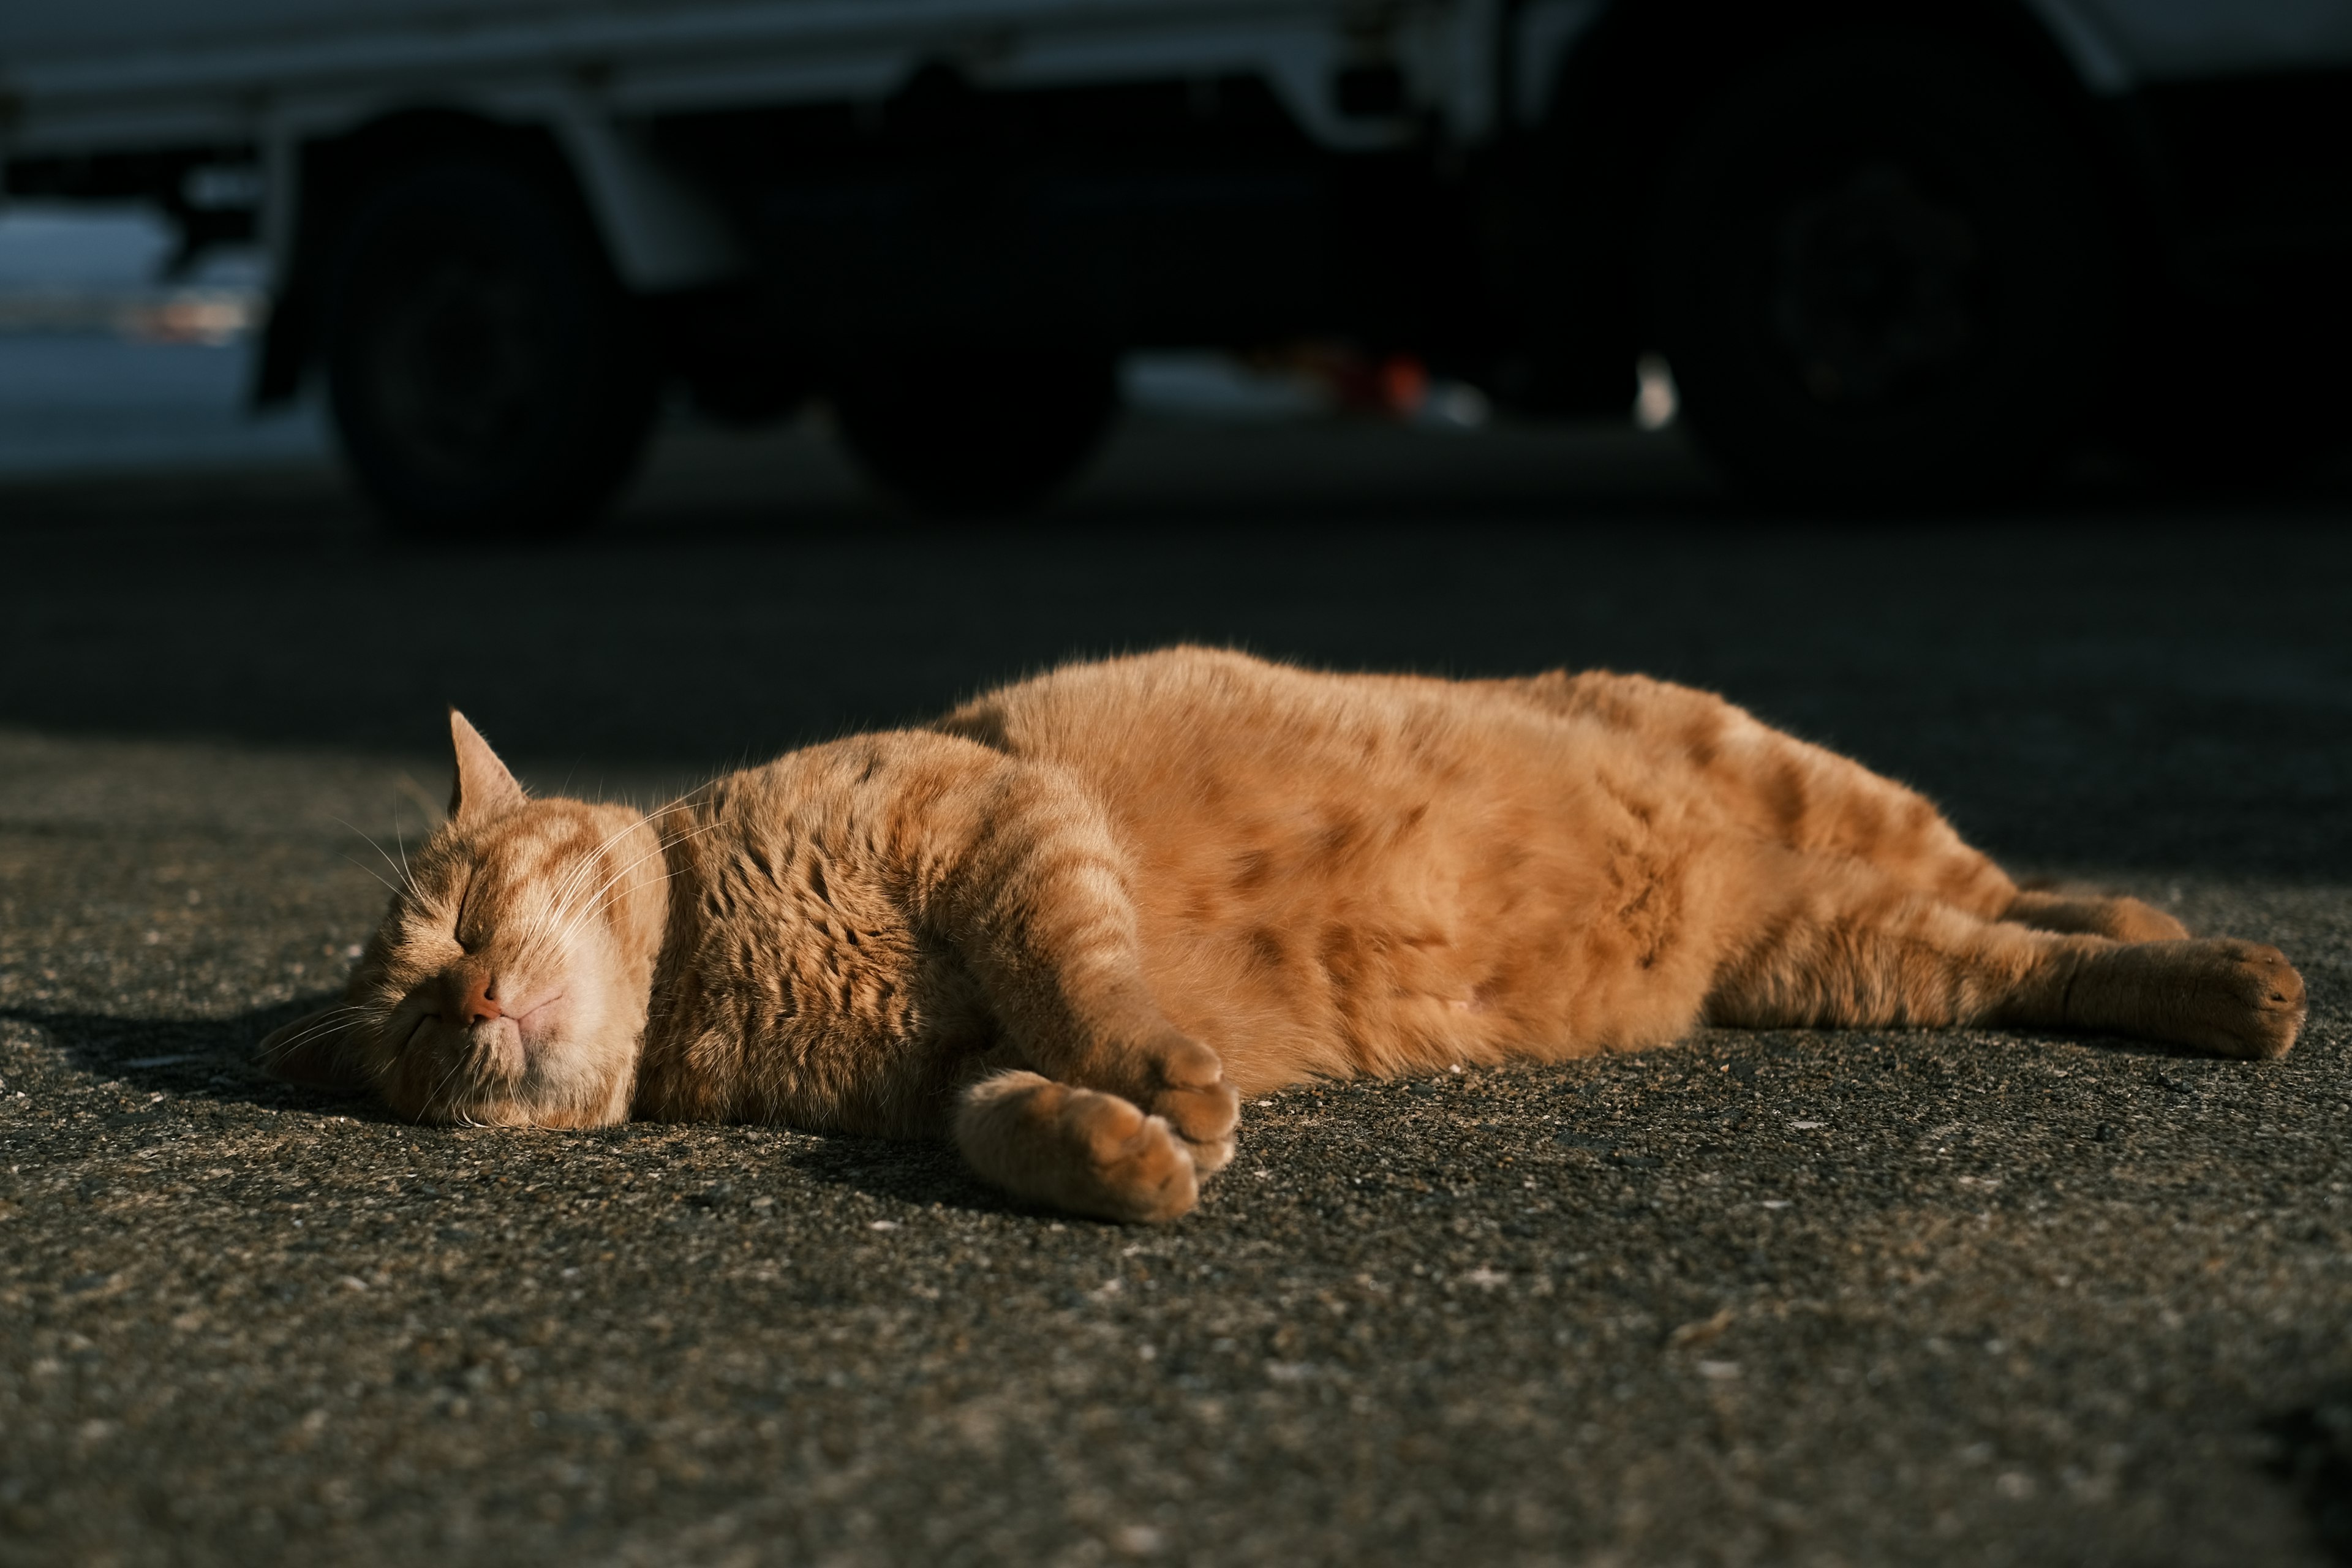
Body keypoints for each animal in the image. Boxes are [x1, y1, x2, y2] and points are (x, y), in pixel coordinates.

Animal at [257, 644, 2295, 1222]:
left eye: (458, 914)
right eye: (407, 1038)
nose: (470, 994)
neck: (728, 981)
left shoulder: (1001, 830)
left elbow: (1087, 986)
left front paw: (1165, 1079)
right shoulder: (953, 1066)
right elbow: (1011, 1110)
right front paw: (1127, 1163)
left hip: (1815, 792)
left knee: (2014, 883)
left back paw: (2218, 942)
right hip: (1837, 955)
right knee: (2012, 948)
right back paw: (2207, 975)